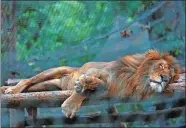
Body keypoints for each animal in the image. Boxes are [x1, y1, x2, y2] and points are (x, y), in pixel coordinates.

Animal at [0, 49, 180, 118]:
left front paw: (84, 86)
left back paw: (8, 89)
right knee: (27, 80)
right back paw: (11, 91)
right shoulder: (98, 70)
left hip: (48, 86)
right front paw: (71, 104)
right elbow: (88, 85)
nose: (164, 79)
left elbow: (95, 87)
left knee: (31, 87)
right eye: (161, 66)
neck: (135, 79)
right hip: (56, 70)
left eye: (171, 76)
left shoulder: (110, 91)